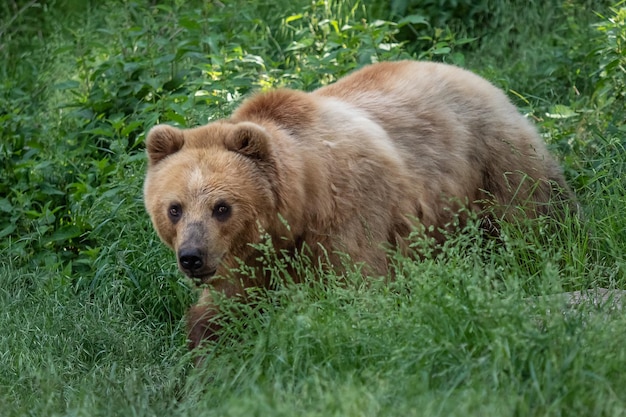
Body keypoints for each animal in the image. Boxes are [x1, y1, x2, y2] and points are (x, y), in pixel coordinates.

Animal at [144, 60, 572, 350]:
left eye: (222, 207)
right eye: (174, 208)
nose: (192, 257)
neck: (301, 203)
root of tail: (475, 75)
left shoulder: (350, 214)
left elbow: (354, 289)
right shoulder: (246, 256)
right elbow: (221, 310)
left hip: (494, 159)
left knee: (530, 216)